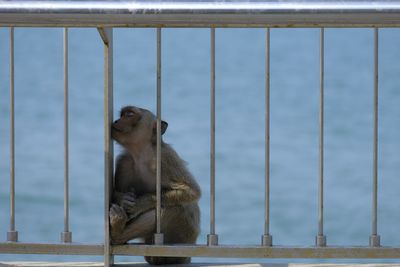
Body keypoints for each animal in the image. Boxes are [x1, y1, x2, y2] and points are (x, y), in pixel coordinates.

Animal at [108, 106, 200, 266]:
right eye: (122, 115)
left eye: (129, 114)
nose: (116, 121)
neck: (141, 154)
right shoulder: (124, 163)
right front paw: (124, 199)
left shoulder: (164, 158)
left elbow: (192, 191)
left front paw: (140, 203)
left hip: (182, 238)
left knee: (173, 208)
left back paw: (117, 232)